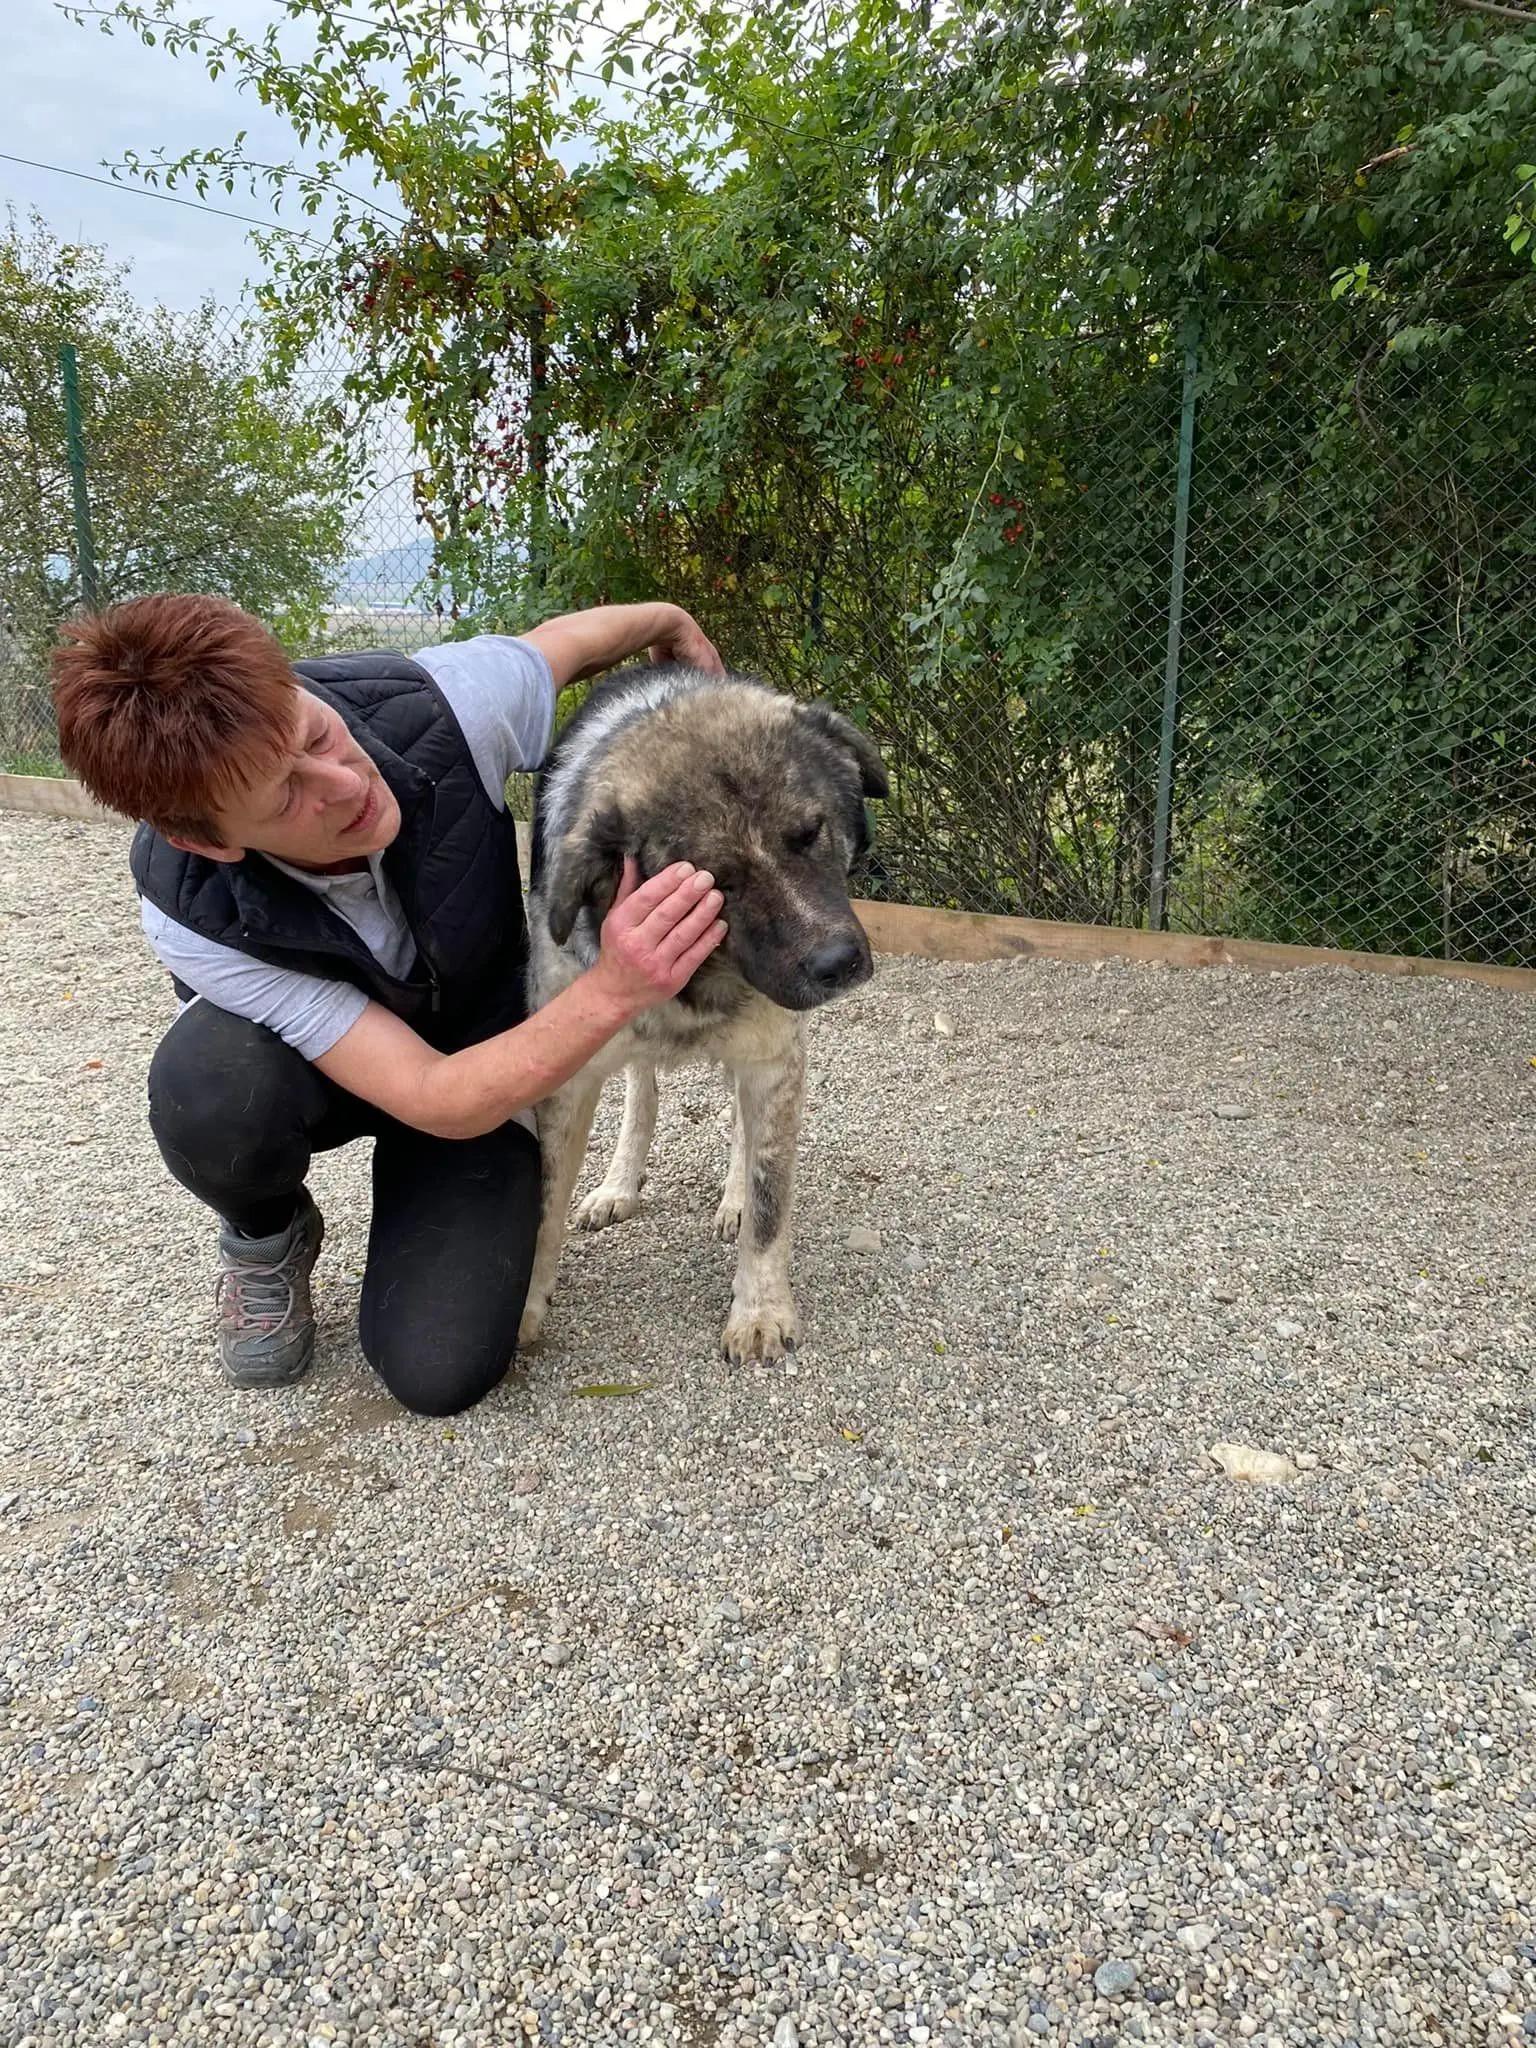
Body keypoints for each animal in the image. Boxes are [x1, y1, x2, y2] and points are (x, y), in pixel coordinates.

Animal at [524, 659, 888, 1359]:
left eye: (808, 834)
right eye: (717, 882)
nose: (837, 964)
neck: (697, 982)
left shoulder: (773, 1056)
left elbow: (771, 1199)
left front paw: (760, 1309)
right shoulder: (567, 1074)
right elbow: (543, 1198)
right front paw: (522, 1305)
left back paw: (733, 1197)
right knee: (641, 1090)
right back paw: (619, 1182)